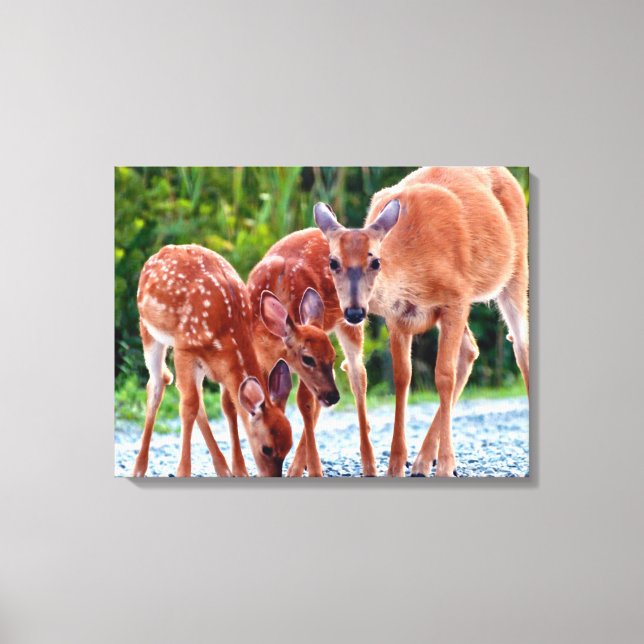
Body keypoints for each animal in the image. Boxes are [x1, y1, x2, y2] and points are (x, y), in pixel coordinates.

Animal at [132, 244, 293, 478]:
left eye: (289, 447)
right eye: (267, 448)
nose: (272, 476)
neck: (229, 329)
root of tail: (162, 251)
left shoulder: (221, 364)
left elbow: (228, 406)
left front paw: (239, 469)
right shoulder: (184, 348)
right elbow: (188, 406)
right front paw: (183, 471)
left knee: (196, 397)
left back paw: (222, 467)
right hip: (148, 330)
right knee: (157, 384)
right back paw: (139, 467)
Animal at [245, 229, 377, 476]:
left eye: (333, 357)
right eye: (308, 358)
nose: (334, 397)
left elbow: (304, 403)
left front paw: (315, 469)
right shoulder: (262, 358)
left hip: (352, 319)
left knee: (357, 375)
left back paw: (369, 464)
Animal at [314, 166, 529, 477]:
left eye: (375, 261)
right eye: (333, 262)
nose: (354, 312)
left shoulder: (456, 298)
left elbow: (443, 376)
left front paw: (447, 463)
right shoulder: (397, 318)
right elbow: (402, 377)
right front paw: (395, 464)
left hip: (515, 271)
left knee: (521, 347)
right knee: (470, 350)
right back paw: (421, 462)